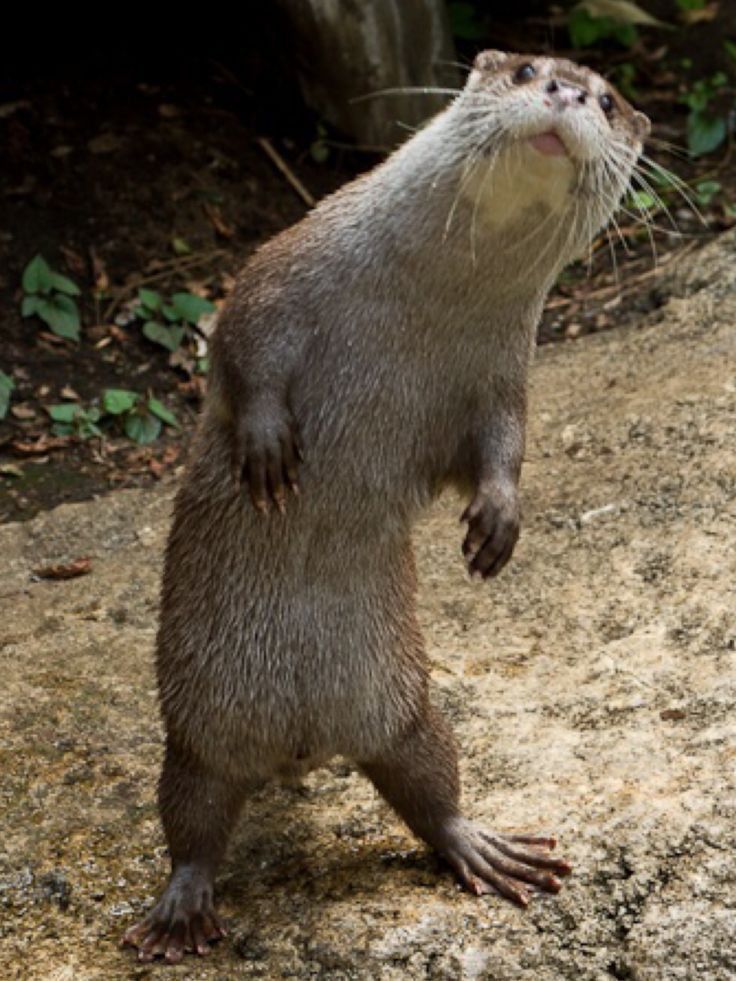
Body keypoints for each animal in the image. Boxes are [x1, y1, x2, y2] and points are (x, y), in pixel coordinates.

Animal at [123, 49, 648, 960]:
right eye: (526, 68)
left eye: (610, 100)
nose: (567, 92)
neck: (417, 310)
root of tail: (300, 740)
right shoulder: (282, 267)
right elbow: (240, 342)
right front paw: (267, 444)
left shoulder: (502, 370)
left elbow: (503, 445)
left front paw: (498, 524)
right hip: (200, 718)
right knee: (192, 816)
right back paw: (183, 905)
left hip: (400, 701)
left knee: (429, 781)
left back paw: (483, 846)